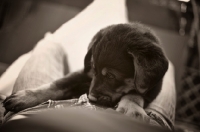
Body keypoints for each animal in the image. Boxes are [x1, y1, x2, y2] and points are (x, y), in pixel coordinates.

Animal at [3, 23, 169, 120]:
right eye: (94, 70)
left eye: (111, 76)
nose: (92, 98)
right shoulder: (84, 73)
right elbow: (58, 84)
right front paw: (25, 96)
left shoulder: (152, 88)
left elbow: (135, 94)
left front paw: (131, 108)